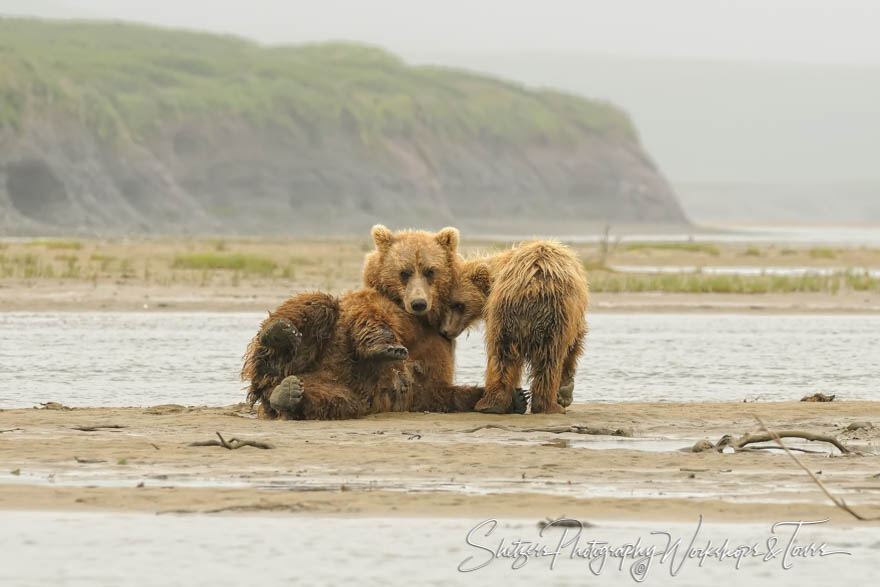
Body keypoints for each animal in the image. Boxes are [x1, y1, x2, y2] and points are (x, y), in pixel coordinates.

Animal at [438, 241, 588, 416]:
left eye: (458, 305)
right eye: (450, 303)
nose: (444, 330)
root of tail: (530, 290)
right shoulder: (573, 317)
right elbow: (574, 345)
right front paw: (565, 391)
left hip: (505, 320)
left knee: (501, 358)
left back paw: (493, 404)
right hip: (549, 320)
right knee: (549, 360)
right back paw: (548, 406)